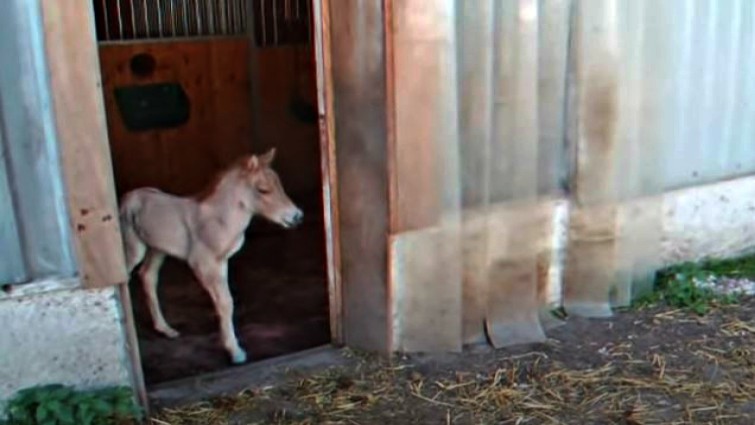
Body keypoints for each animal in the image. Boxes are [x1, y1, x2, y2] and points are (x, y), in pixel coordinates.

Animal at [118, 148, 302, 364]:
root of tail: (129, 196)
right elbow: (225, 303)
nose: (297, 216)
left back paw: (165, 330)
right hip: (134, 247)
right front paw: (235, 352)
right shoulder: (203, 263)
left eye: (279, 184)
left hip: (158, 249)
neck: (219, 220)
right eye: (263, 189)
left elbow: (226, 302)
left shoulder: (221, 262)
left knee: (148, 276)